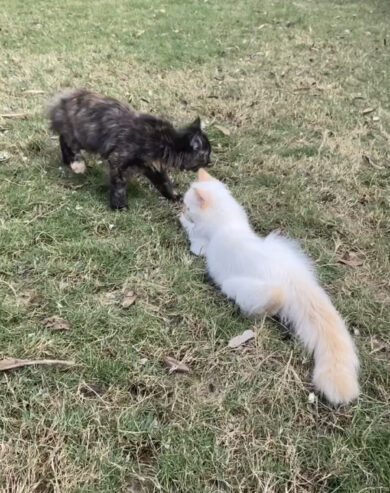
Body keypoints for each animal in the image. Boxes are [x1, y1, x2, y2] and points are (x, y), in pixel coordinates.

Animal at [47, 90, 212, 208]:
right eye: (206, 154)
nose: (210, 162)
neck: (165, 142)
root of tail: (63, 99)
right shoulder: (118, 160)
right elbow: (119, 185)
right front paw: (119, 206)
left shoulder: (153, 169)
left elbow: (165, 184)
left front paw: (174, 197)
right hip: (80, 137)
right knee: (65, 141)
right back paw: (76, 164)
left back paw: (67, 162)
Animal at [180, 168, 360, 404]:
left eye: (188, 205)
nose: (181, 207)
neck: (229, 222)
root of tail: (291, 276)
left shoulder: (200, 246)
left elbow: (192, 234)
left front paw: (182, 219)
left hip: (238, 286)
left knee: (273, 298)